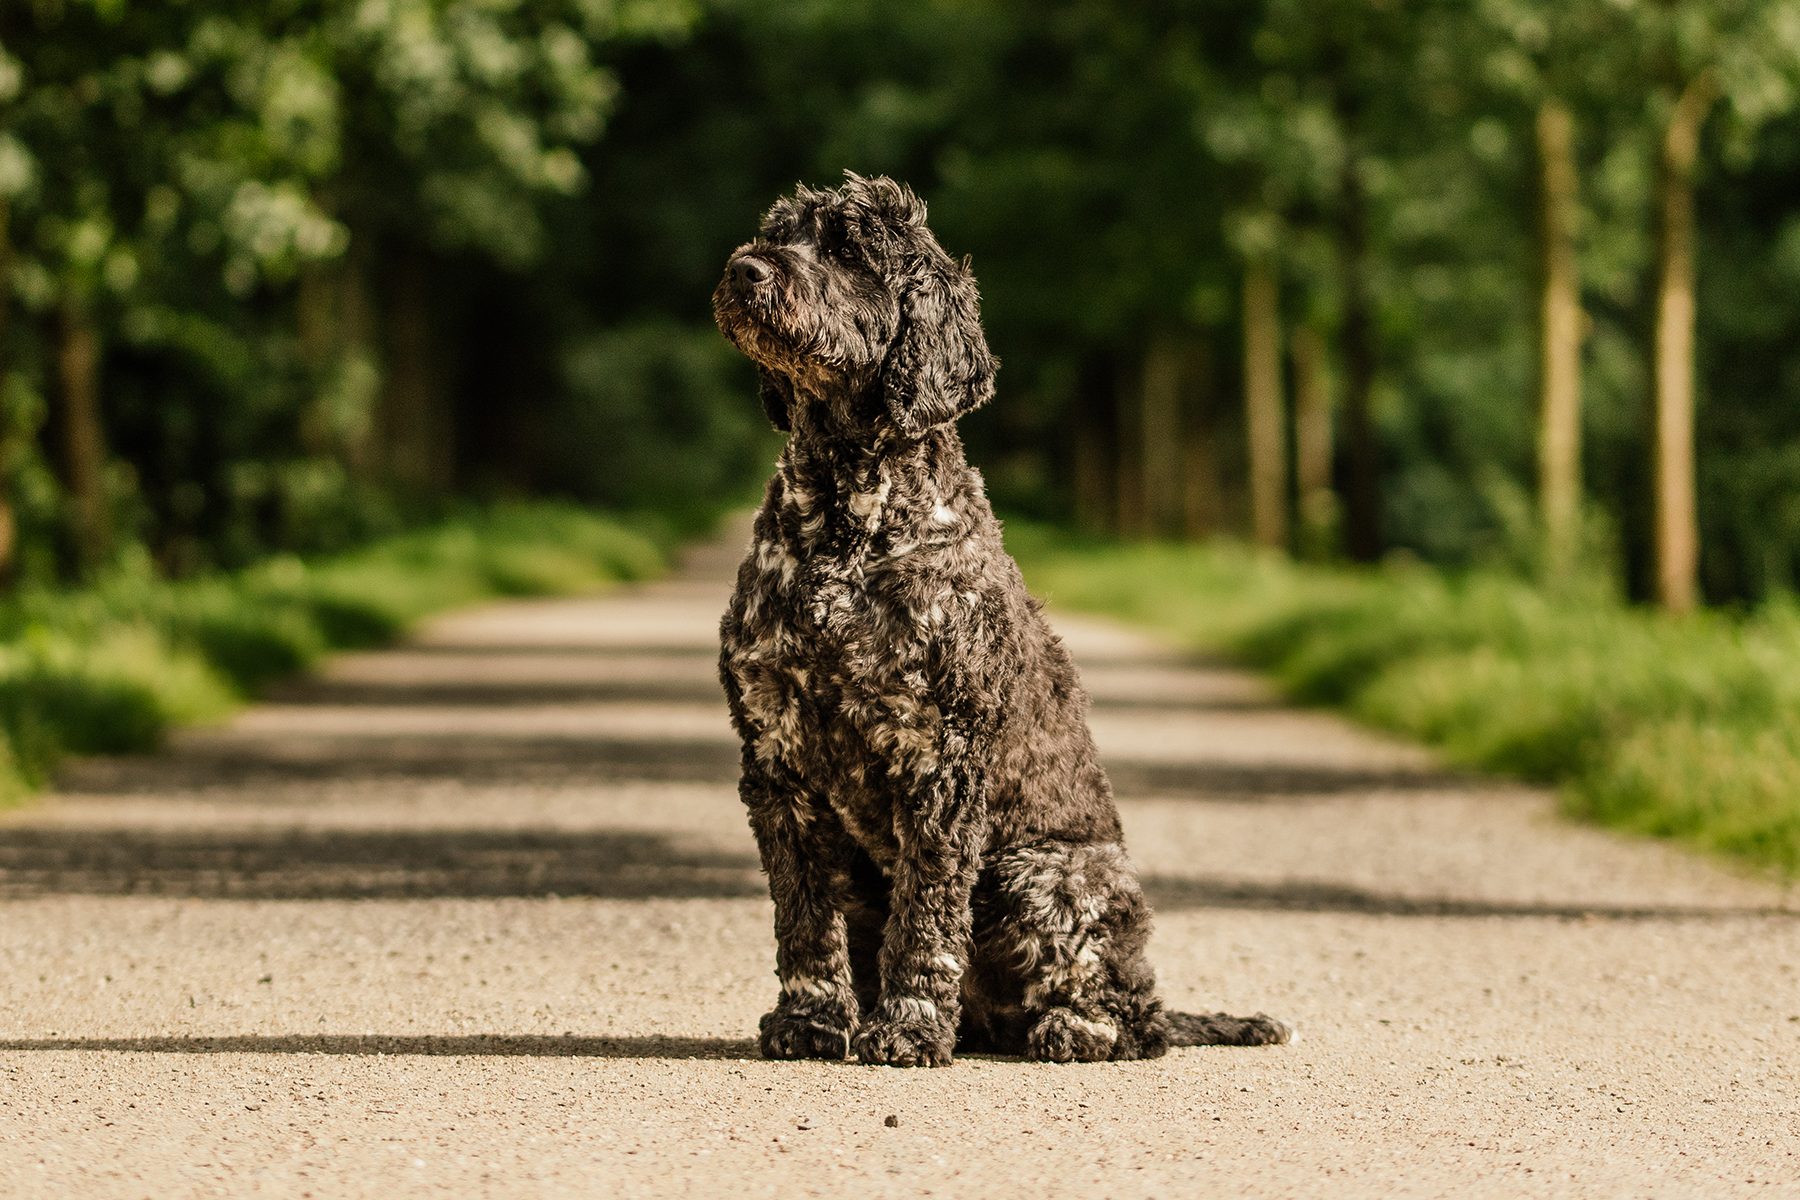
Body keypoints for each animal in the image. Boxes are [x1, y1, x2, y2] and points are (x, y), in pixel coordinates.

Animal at [709, 170, 1288, 1072]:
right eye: (777, 233)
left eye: (848, 249)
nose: (745, 270)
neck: (846, 521)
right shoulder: (777, 762)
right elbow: (803, 917)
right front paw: (810, 1020)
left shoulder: (943, 762)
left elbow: (927, 917)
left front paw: (909, 1026)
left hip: (1045, 872)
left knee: (1132, 1019)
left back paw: (1071, 1028)